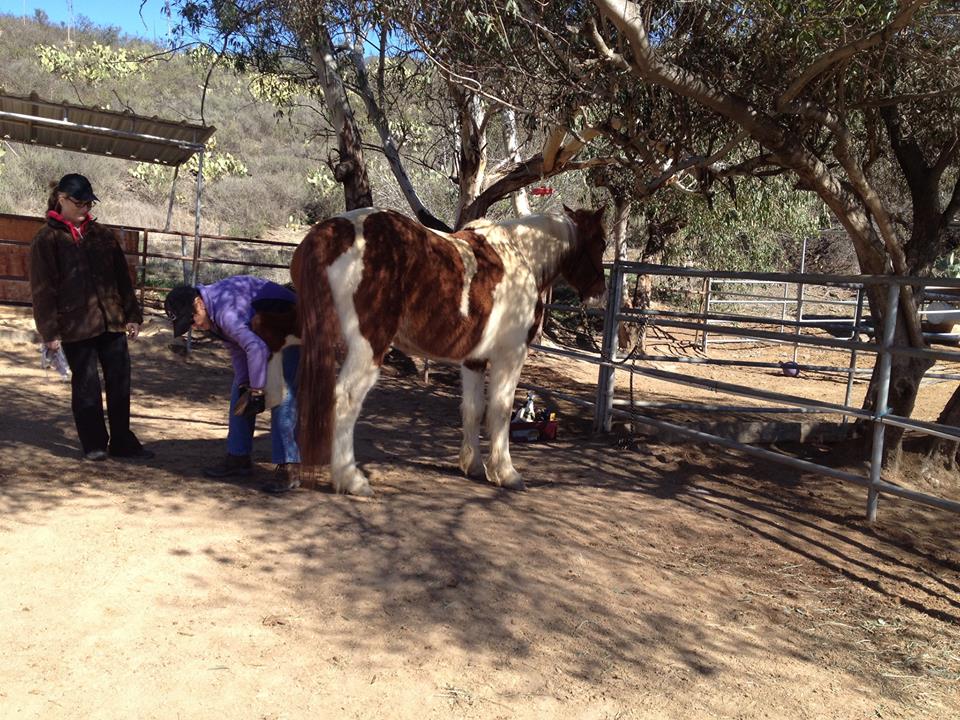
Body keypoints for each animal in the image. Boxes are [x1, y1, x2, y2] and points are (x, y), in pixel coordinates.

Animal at [292, 205, 608, 492]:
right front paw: (506, 473)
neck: (522, 256)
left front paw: (475, 466)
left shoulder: (474, 360)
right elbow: (500, 411)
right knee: (345, 399)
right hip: (367, 347)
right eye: (602, 243)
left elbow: (473, 409)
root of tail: (330, 234)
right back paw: (350, 479)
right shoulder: (511, 355)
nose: (600, 295)